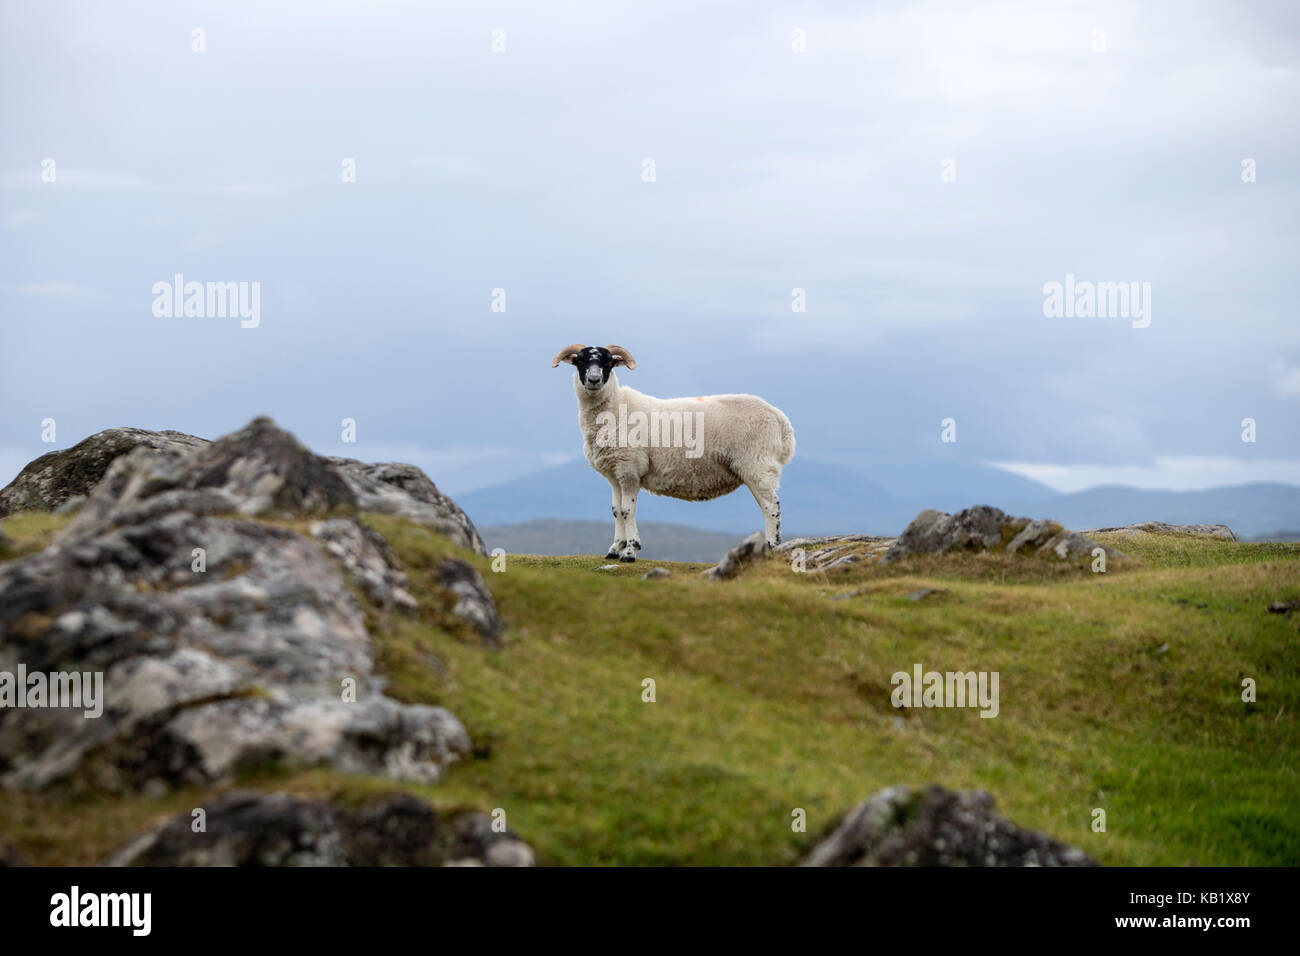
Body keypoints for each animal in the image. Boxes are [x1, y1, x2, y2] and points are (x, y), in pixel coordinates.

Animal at [548, 345, 790, 561]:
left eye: (608, 363)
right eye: (580, 361)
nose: (594, 380)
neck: (615, 407)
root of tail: (780, 419)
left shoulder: (630, 470)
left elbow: (627, 511)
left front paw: (630, 551)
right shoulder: (614, 474)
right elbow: (616, 510)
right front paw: (615, 549)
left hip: (757, 464)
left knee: (771, 506)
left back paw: (772, 546)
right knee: (767, 505)